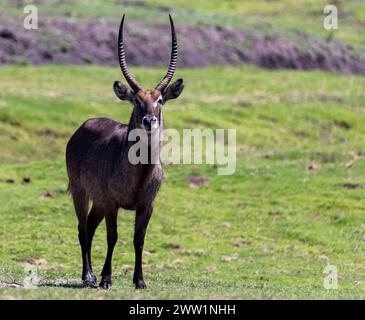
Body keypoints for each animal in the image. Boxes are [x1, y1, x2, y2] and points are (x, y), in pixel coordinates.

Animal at [65, 14, 183, 290]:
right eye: (137, 100)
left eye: (160, 100)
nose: (150, 120)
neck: (139, 173)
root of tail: (84, 125)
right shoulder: (113, 203)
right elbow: (113, 237)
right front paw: (106, 279)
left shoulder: (146, 206)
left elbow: (138, 240)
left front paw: (140, 280)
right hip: (81, 191)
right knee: (82, 228)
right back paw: (88, 276)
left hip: (97, 200)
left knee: (89, 226)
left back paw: (91, 275)